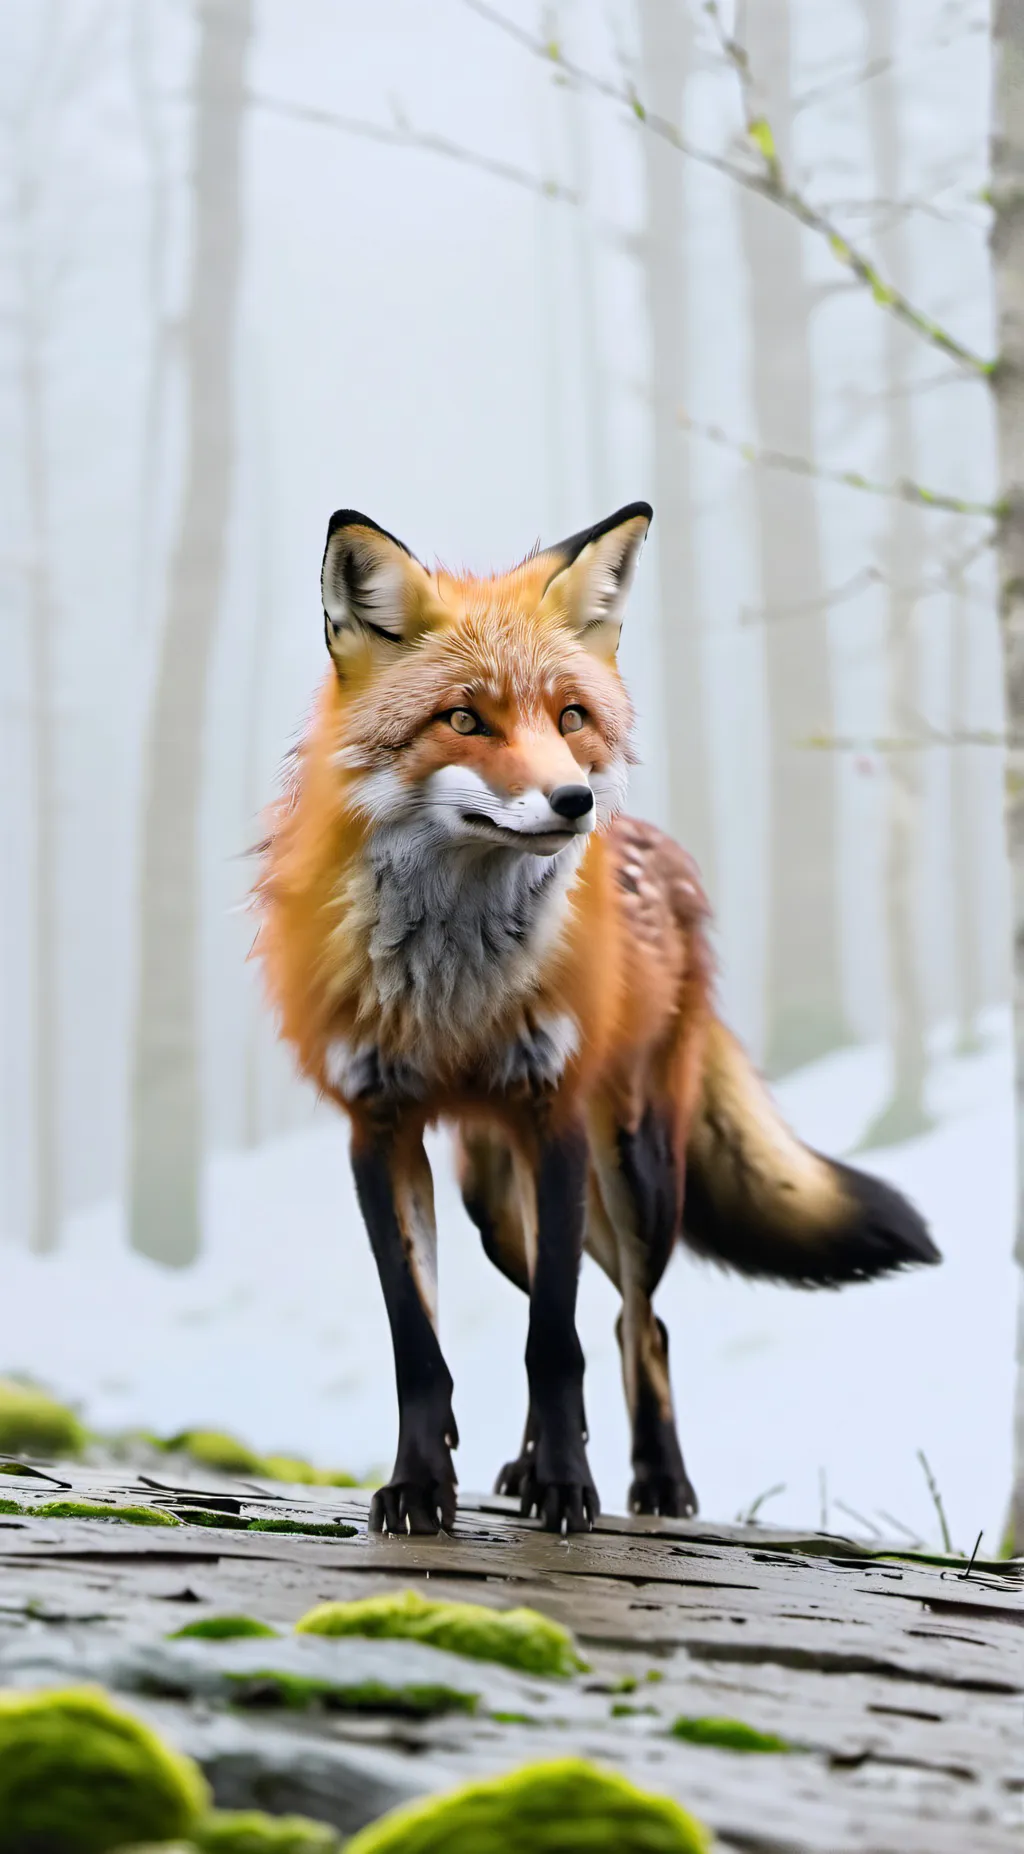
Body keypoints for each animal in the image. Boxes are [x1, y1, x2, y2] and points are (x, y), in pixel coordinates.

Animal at [253, 501, 940, 1537]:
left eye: (570, 717)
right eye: (465, 718)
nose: (574, 800)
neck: (454, 984)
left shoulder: (557, 1113)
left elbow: (557, 1345)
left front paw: (571, 1490)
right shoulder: (378, 1127)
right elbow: (421, 1344)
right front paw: (420, 1486)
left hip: (636, 1171)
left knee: (634, 1323)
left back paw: (654, 1482)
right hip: (497, 1205)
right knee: (575, 1298)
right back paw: (526, 1465)